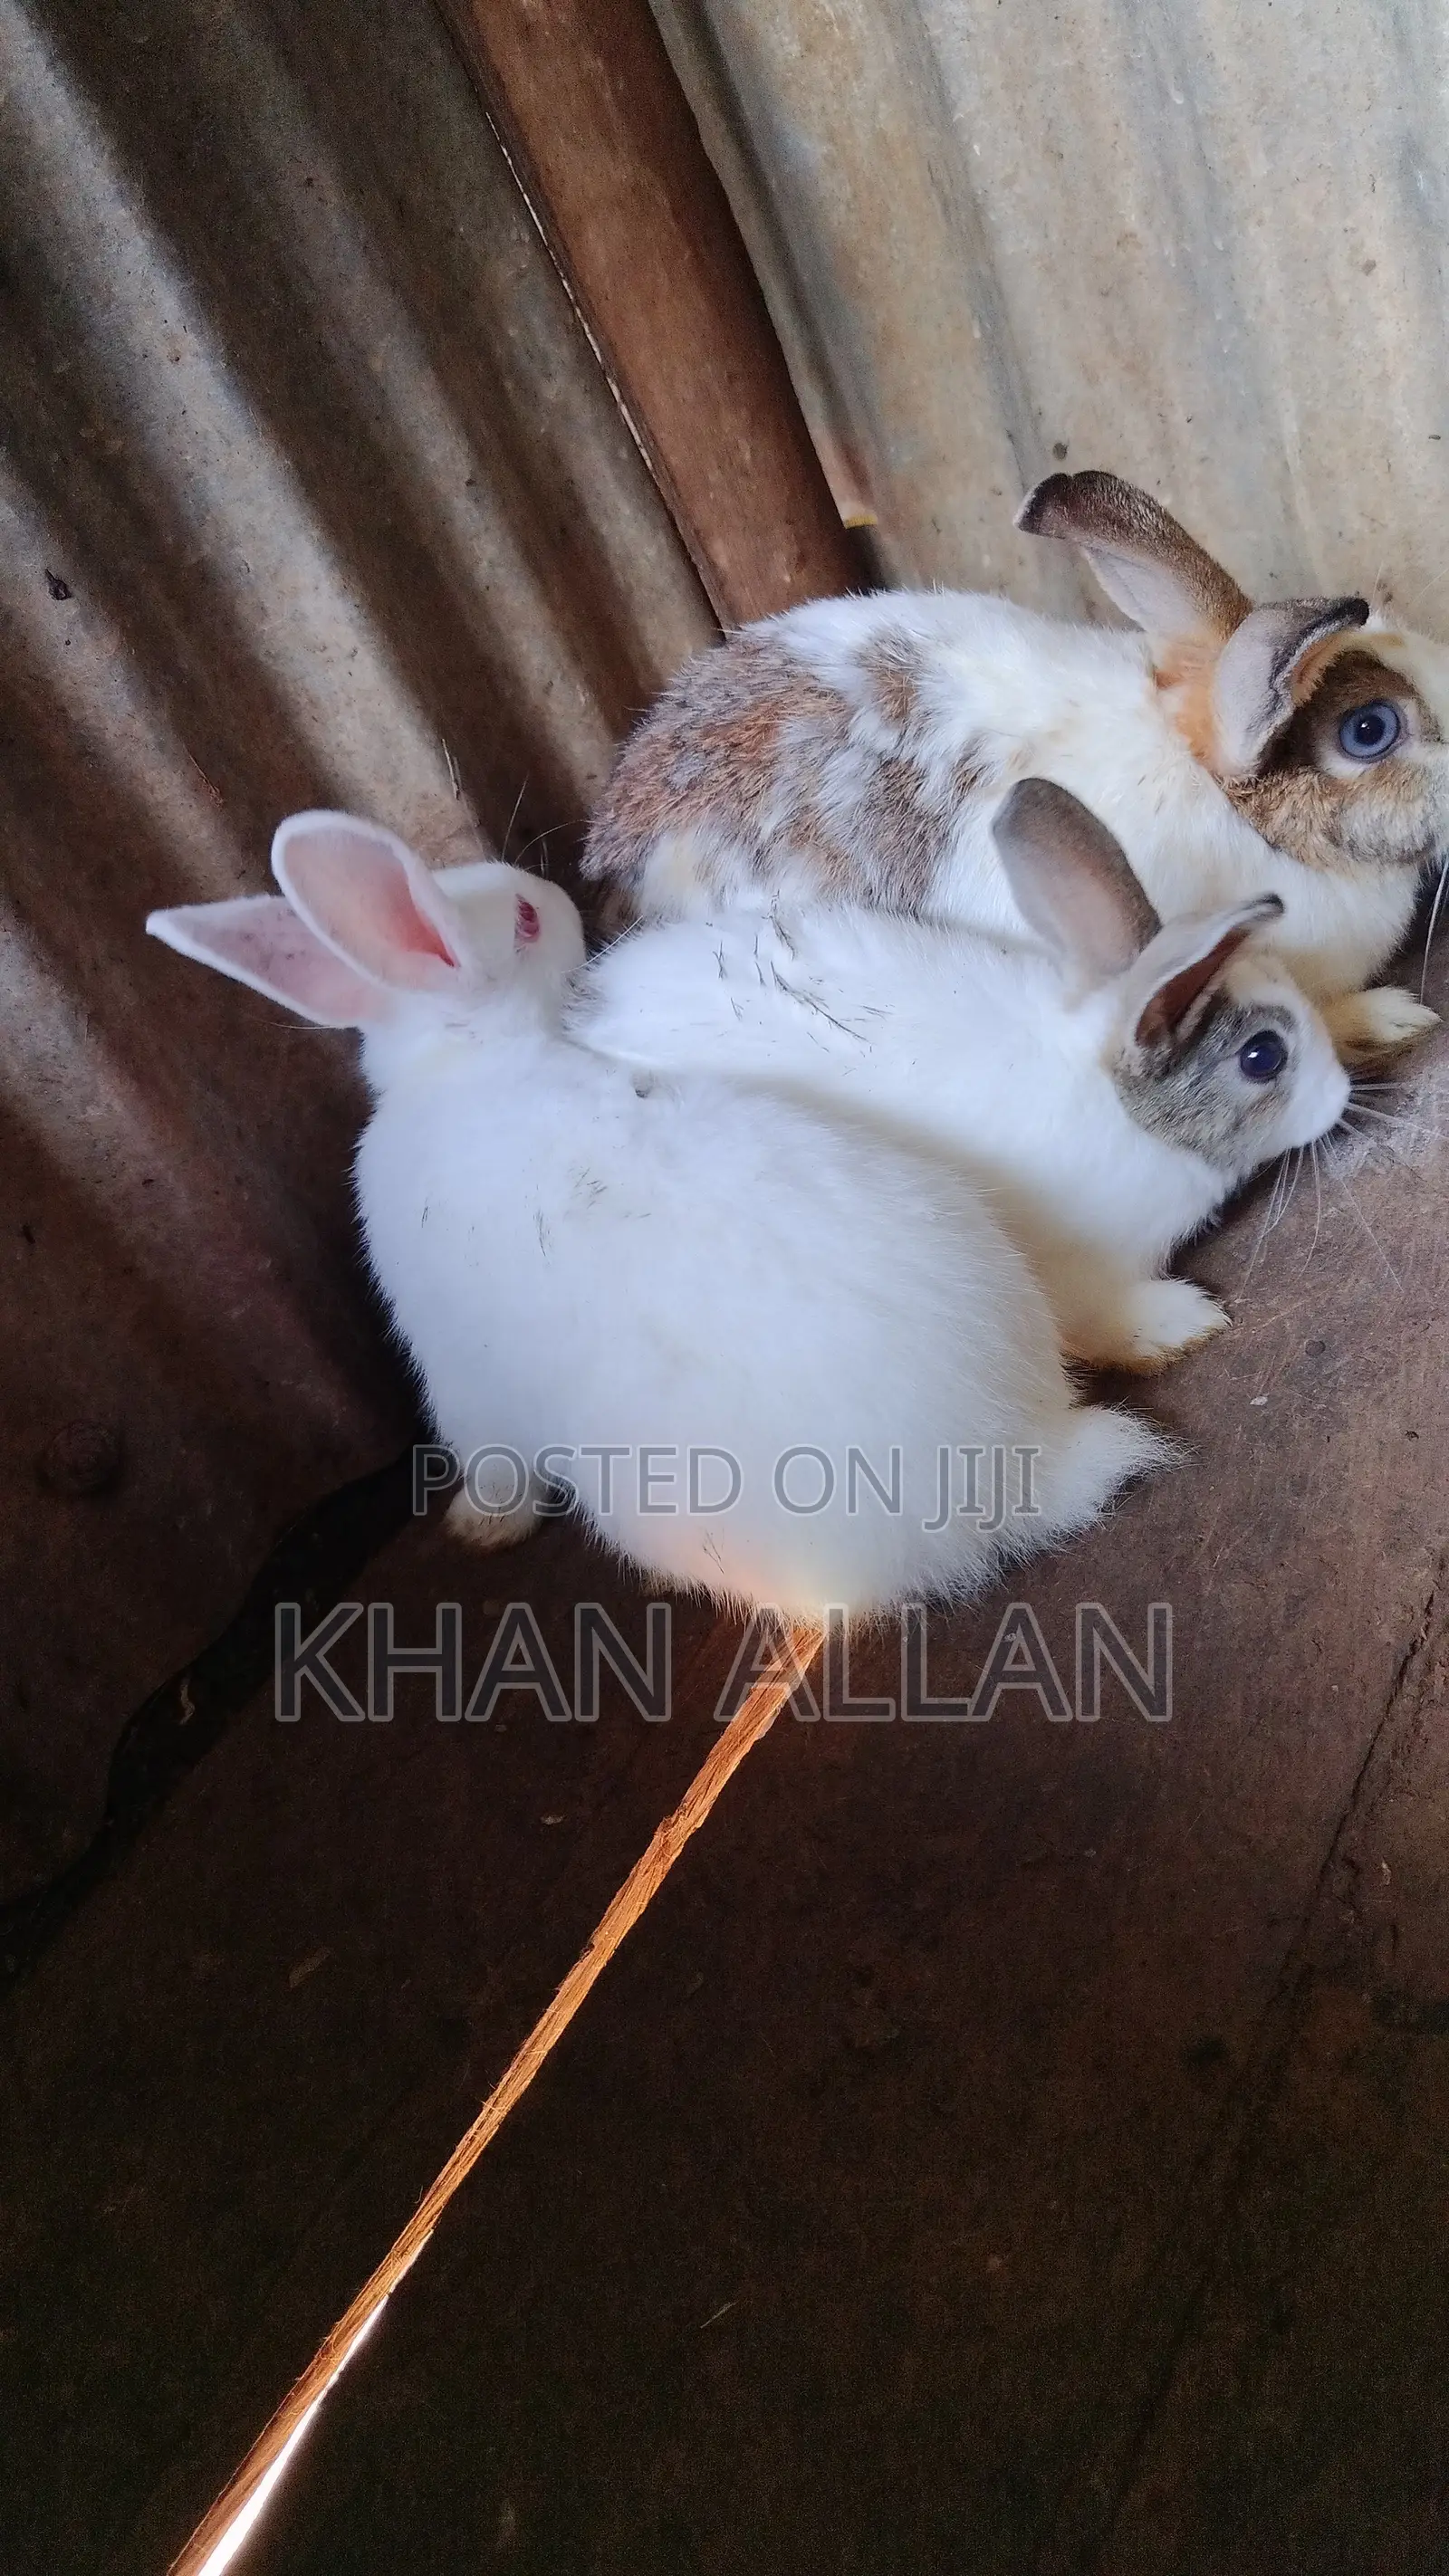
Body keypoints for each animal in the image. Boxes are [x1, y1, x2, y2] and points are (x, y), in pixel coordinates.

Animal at [145, 812, 1171, 1619]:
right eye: (524, 921)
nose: (553, 897)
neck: (467, 1064)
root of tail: (1026, 1460)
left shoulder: (463, 1385)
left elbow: (495, 1466)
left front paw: (479, 1528)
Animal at [574, 779, 1353, 1375]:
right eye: (1263, 1056)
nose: (1341, 1093)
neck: (1117, 1102)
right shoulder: (1086, 1267)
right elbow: (1104, 1319)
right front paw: (1184, 1324)